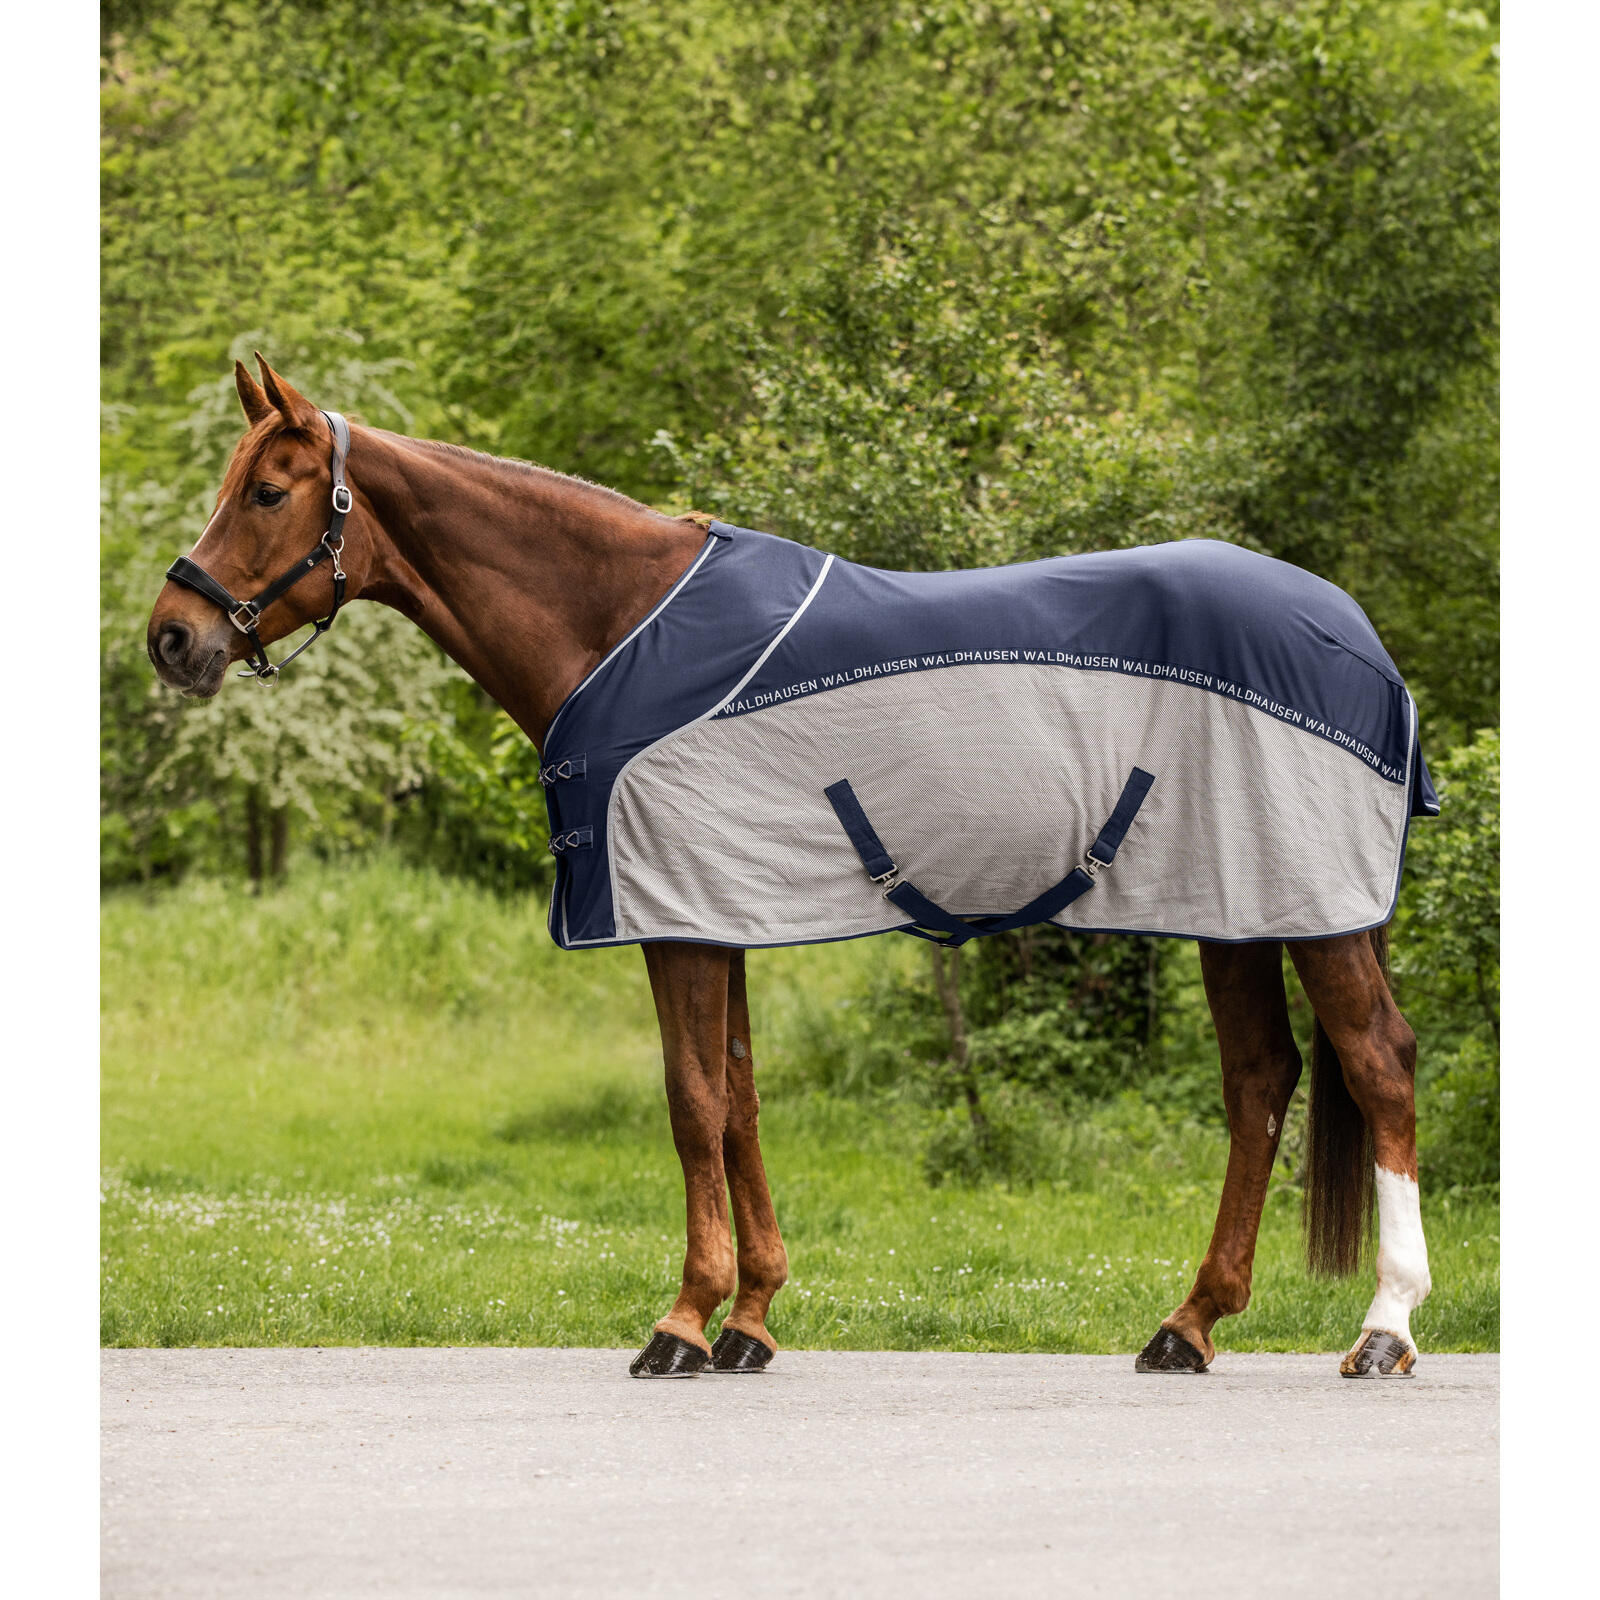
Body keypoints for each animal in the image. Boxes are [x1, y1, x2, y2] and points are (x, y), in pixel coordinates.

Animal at [146, 357, 1434, 1380]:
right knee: (1261, 1080)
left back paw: (1383, 1328)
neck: (621, 624)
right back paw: (1190, 1322)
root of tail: (1356, 633)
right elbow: (741, 1099)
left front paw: (681, 1320)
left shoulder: (675, 918)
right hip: (1236, 910)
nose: (172, 635)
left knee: (1377, 1064)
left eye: (267, 490)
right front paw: (751, 1318)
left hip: (1309, 909)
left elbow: (691, 1103)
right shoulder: (720, 908)